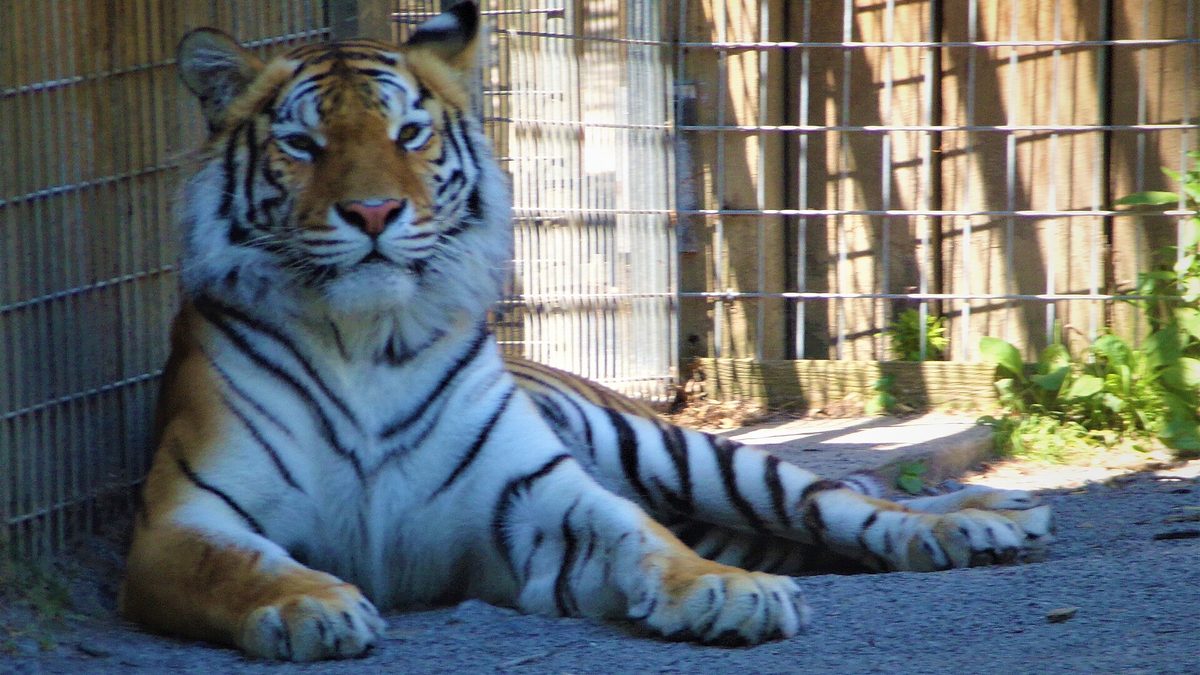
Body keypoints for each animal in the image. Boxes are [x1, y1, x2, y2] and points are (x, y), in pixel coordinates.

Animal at [120, 1, 1053, 661]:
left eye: (408, 134)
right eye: (304, 145)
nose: (376, 212)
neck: (366, 339)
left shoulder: (532, 492)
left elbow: (645, 537)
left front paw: (729, 593)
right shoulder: (182, 518)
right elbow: (241, 563)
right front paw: (311, 602)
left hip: (684, 450)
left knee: (842, 500)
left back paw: (979, 521)